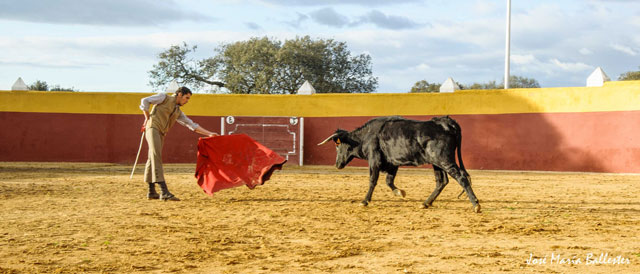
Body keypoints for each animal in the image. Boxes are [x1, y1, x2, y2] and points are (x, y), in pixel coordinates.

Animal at [316, 115, 480, 212]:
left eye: (337, 146)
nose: (337, 164)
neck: (365, 136)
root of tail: (446, 122)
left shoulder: (374, 160)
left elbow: (373, 180)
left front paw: (365, 201)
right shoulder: (392, 163)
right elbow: (389, 181)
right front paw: (400, 192)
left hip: (444, 159)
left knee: (461, 177)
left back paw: (476, 205)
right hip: (437, 162)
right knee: (442, 181)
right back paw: (426, 203)